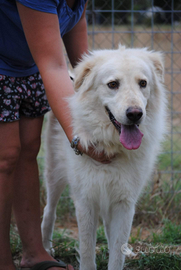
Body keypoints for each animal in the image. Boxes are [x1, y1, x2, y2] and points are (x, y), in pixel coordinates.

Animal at [41, 45, 167, 268]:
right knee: (49, 210)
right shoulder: (85, 202)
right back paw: (46, 250)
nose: (135, 114)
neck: (111, 146)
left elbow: (117, 253)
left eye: (143, 83)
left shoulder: (124, 203)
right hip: (55, 176)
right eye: (113, 84)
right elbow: (87, 253)